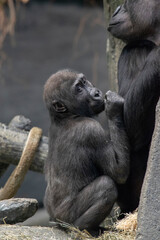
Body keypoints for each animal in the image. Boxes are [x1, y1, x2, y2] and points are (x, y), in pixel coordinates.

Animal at [43, 70, 129, 232]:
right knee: (106, 185)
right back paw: (82, 229)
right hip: (66, 216)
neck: (65, 116)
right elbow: (119, 172)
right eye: (78, 89)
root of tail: (56, 221)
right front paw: (113, 107)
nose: (96, 93)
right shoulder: (91, 130)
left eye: (84, 82)